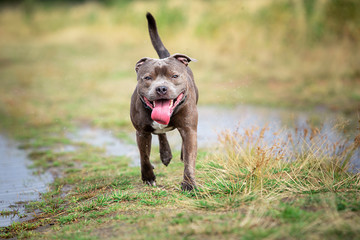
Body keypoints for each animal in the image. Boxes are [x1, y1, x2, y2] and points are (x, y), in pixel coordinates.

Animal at [130, 13, 198, 190]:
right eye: (147, 78)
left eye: (174, 75)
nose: (161, 88)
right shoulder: (141, 132)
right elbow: (144, 157)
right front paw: (148, 177)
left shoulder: (189, 129)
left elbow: (189, 159)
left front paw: (188, 184)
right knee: (160, 134)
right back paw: (165, 153)